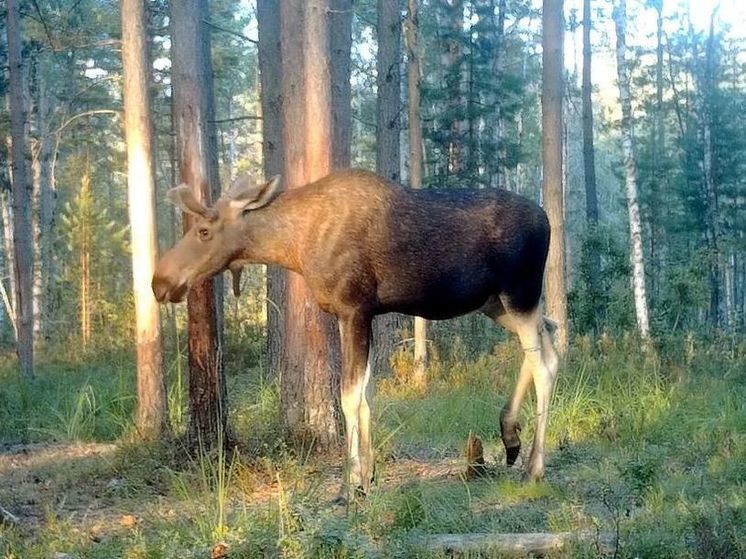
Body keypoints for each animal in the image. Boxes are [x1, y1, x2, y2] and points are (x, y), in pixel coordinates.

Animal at [153, 170, 560, 494]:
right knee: (550, 345)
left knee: (543, 364)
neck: (295, 247)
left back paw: (534, 467)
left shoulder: (354, 309)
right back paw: (510, 436)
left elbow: (349, 396)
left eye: (204, 230)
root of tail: (548, 221)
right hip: (497, 304)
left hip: (519, 293)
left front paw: (350, 485)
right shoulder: (354, 314)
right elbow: (365, 396)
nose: (160, 282)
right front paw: (367, 476)